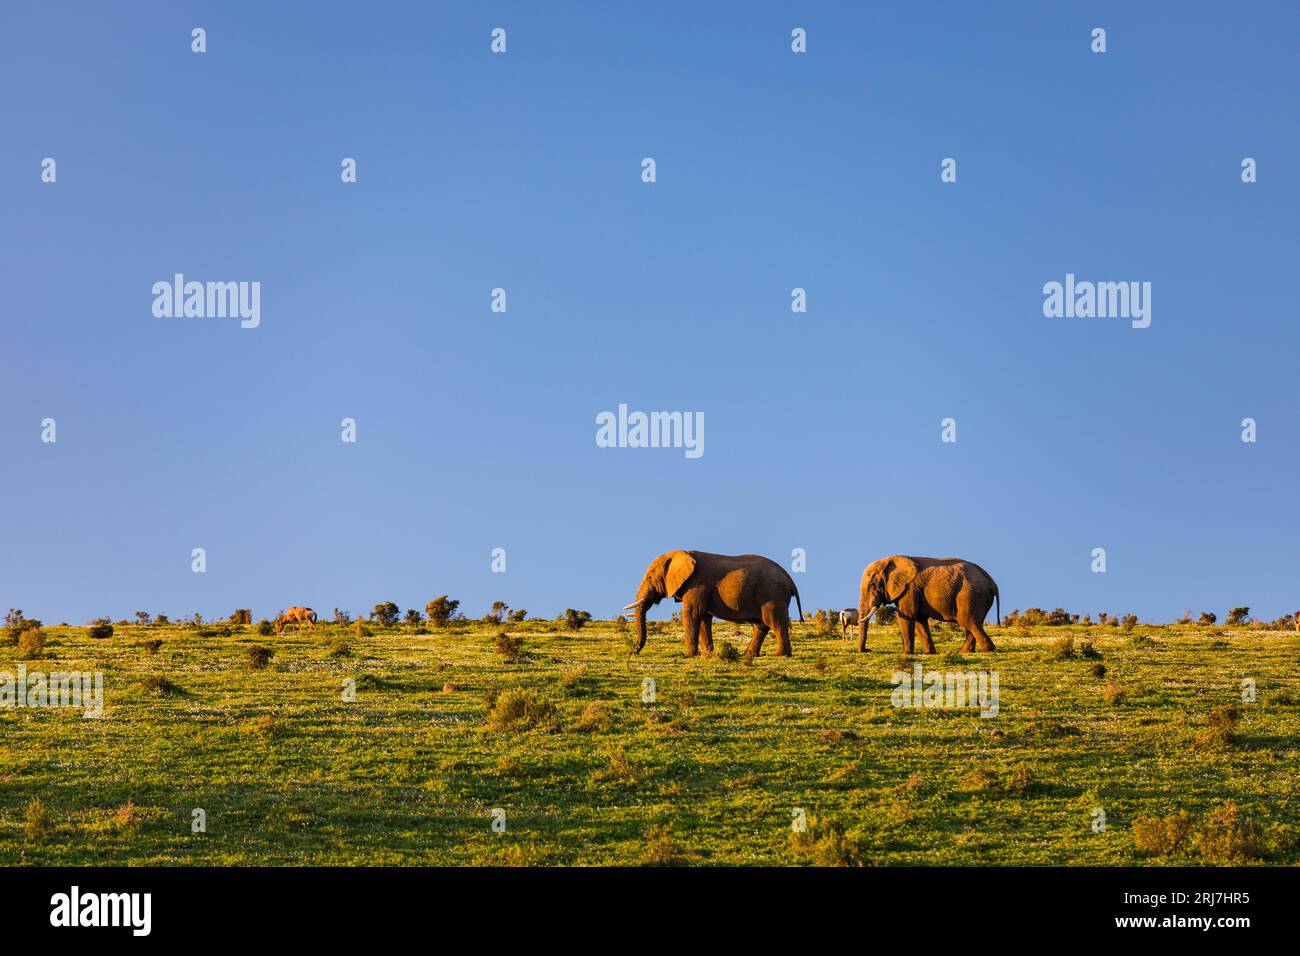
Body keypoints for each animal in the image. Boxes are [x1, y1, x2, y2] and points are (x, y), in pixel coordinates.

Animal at [621, 548, 795, 655]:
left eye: (650, 577)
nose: (633, 651)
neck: (682, 553)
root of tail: (790, 580)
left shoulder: (697, 583)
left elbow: (691, 613)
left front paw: (688, 656)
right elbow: (704, 617)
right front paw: (708, 656)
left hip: (773, 594)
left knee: (776, 623)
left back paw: (780, 655)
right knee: (760, 626)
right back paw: (749, 655)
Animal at [857, 556, 998, 655]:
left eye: (872, 585)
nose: (868, 650)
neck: (888, 561)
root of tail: (992, 582)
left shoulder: (910, 588)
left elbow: (906, 616)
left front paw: (906, 653)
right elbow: (920, 619)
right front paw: (929, 653)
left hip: (971, 595)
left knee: (969, 622)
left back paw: (987, 649)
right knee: (973, 623)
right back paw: (966, 651)